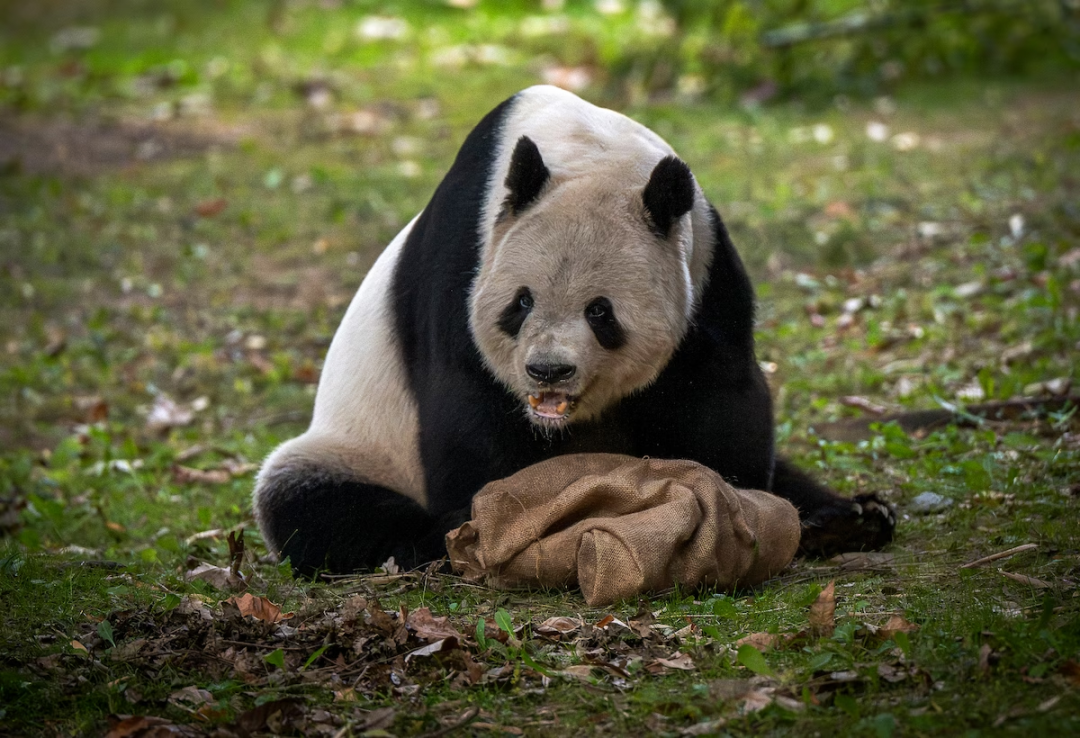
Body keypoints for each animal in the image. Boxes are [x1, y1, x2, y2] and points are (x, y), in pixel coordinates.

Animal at [252, 83, 894, 574]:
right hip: (354, 449)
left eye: (600, 312)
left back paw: (846, 519)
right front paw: (495, 526)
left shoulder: (705, 272)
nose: (549, 371)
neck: (587, 154)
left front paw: (735, 509)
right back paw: (425, 542)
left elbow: (720, 395)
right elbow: (467, 406)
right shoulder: (467, 260)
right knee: (314, 507)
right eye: (520, 303)